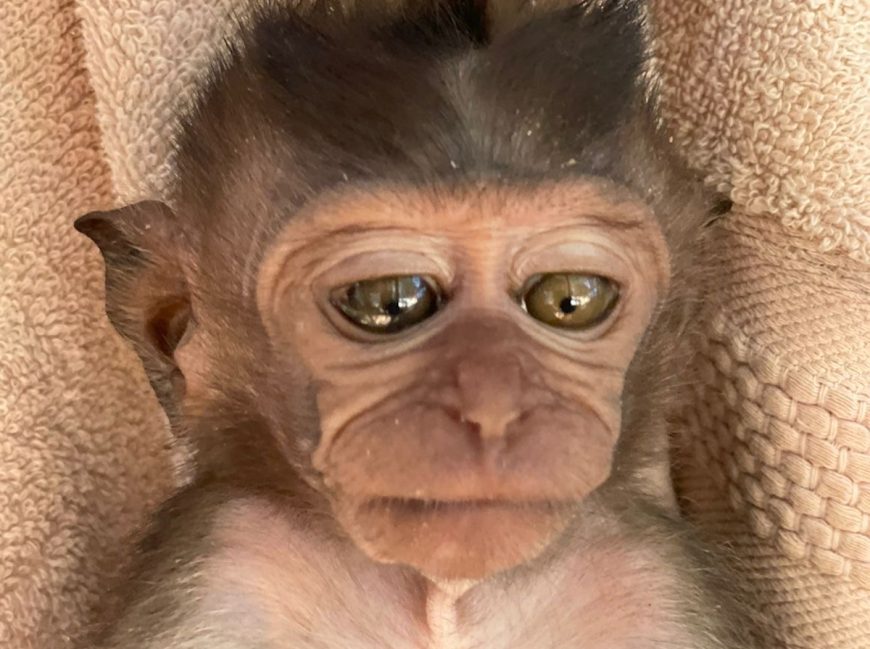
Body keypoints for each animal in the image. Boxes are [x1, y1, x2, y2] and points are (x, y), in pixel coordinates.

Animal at [74, 1, 761, 647]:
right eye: (389, 300)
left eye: (570, 298)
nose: (494, 405)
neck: (446, 598)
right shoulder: (218, 569)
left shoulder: (655, 584)